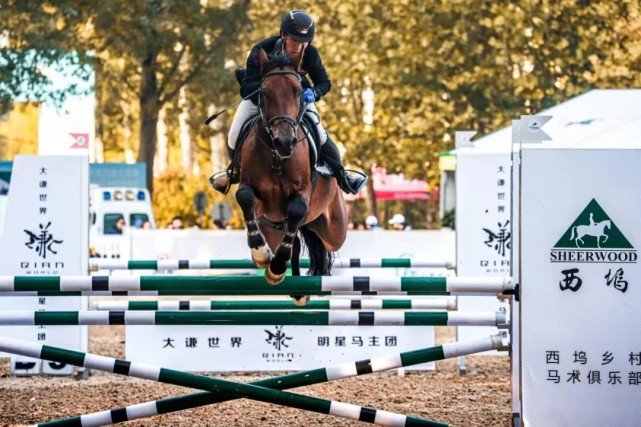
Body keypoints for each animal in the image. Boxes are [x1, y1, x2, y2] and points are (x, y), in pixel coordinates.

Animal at [234, 49, 344, 304]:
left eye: (298, 91)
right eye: (264, 92)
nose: (285, 142)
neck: (278, 159)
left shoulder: (302, 193)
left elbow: (295, 210)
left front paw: (275, 268)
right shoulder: (255, 194)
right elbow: (244, 196)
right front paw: (261, 254)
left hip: (335, 229)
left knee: (319, 241)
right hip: (272, 228)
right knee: (291, 240)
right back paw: (295, 287)